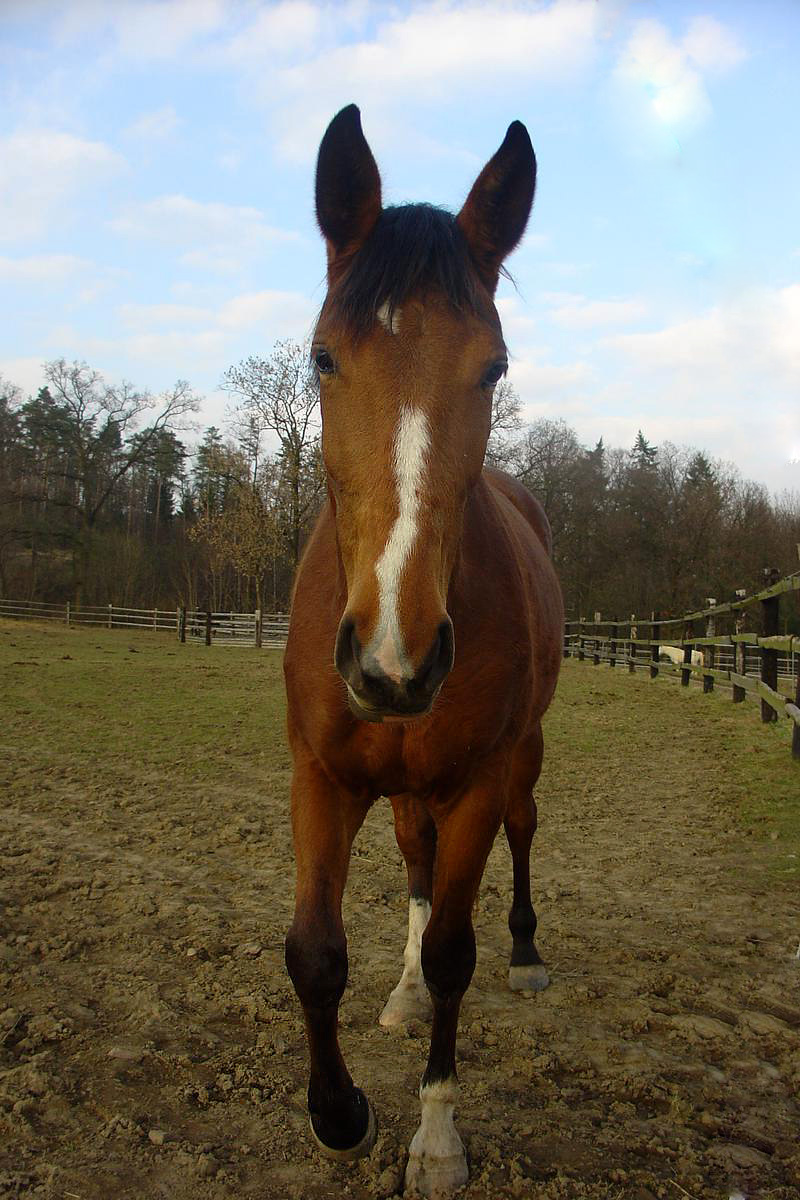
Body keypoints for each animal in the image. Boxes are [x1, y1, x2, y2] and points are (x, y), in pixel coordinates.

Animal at [283, 104, 563, 1198]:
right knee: (411, 861)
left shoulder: (478, 782)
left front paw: (436, 1137)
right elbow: (316, 952)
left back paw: (524, 954)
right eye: (324, 357)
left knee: (519, 840)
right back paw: (398, 996)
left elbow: (454, 951)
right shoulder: (321, 775)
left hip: (518, 762)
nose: (393, 662)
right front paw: (339, 1114)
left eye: (493, 367)